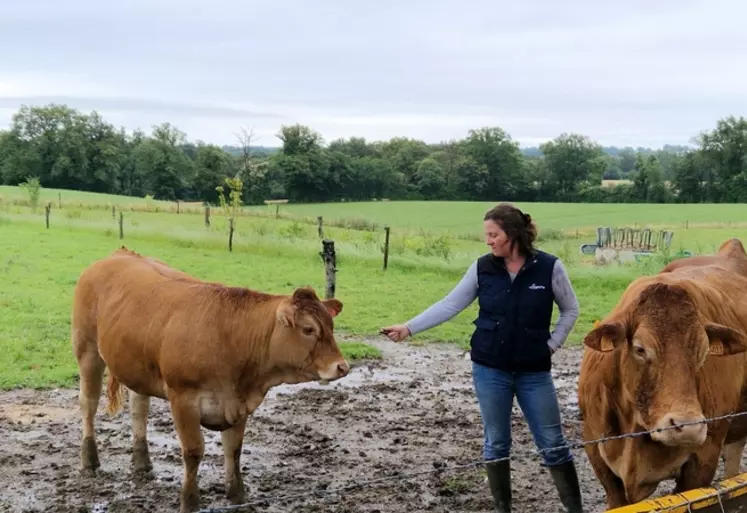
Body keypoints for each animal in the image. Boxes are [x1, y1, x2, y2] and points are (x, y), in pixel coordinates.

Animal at [71, 246, 350, 510]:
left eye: (331, 326)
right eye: (308, 329)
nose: (342, 367)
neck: (230, 338)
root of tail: (119, 254)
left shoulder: (238, 403)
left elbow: (234, 449)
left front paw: (238, 497)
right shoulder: (183, 399)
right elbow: (194, 451)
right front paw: (190, 501)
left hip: (135, 363)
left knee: (139, 408)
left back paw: (142, 463)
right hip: (87, 350)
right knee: (88, 404)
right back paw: (90, 460)